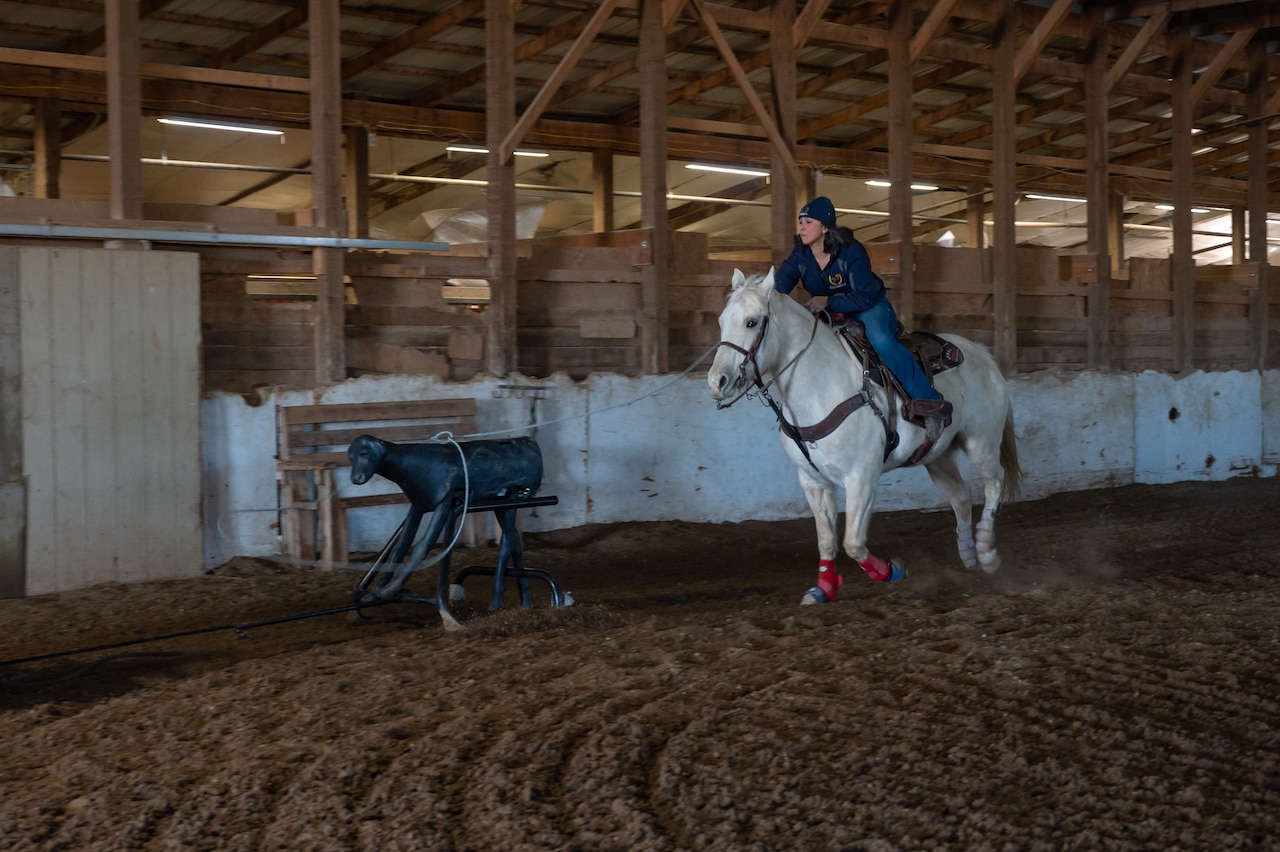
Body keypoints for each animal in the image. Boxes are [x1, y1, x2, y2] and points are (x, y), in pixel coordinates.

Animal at [706, 267, 1013, 603]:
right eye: (722, 320)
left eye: (752, 321)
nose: (716, 382)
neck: (820, 386)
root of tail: (982, 353)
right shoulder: (812, 481)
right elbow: (826, 540)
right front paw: (823, 589)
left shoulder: (861, 477)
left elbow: (852, 542)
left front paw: (892, 571)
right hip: (937, 456)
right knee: (960, 496)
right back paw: (968, 554)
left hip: (982, 442)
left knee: (994, 482)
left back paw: (986, 552)